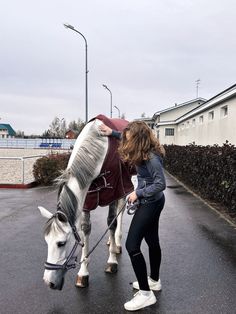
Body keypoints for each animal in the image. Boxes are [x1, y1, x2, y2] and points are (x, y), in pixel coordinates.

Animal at [38, 116, 133, 290]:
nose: (49, 282)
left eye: (61, 243)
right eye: (46, 240)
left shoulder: (113, 194)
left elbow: (111, 222)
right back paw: (110, 242)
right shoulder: (85, 202)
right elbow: (85, 230)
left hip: (123, 191)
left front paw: (112, 262)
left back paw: (116, 243)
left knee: (119, 215)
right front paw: (83, 273)